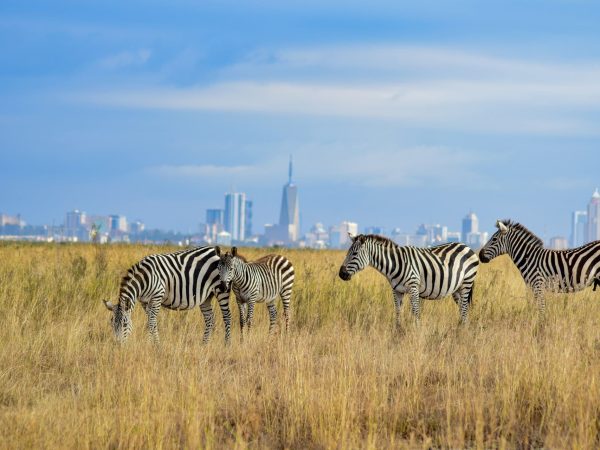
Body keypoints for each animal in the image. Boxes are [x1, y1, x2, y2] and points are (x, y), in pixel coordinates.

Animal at [102, 246, 231, 344]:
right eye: (112, 324)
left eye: (125, 324)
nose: (118, 345)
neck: (144, 279)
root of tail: (216, 251)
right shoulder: (144, 301)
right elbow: (152, 321)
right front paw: (155, 344)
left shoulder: (157, 296)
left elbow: (151, 322)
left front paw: (150, 344)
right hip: (206, 297)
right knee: (210, 318)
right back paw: (204, 344)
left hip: (221, 290)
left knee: (227, 316)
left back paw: (227, 344)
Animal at [340, 232, 480, 326]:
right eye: (347, 253)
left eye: (355, 254)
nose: (341, 274)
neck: (395, 263)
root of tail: (466, 246)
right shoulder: (397, 290)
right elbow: (398, 311)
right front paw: (398, 331)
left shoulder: (413, 287)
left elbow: (416, 312)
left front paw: (416, 332)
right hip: (456, 288)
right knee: (462, 309)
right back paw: (460, 329)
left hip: (467, 282)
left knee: (464, 308)